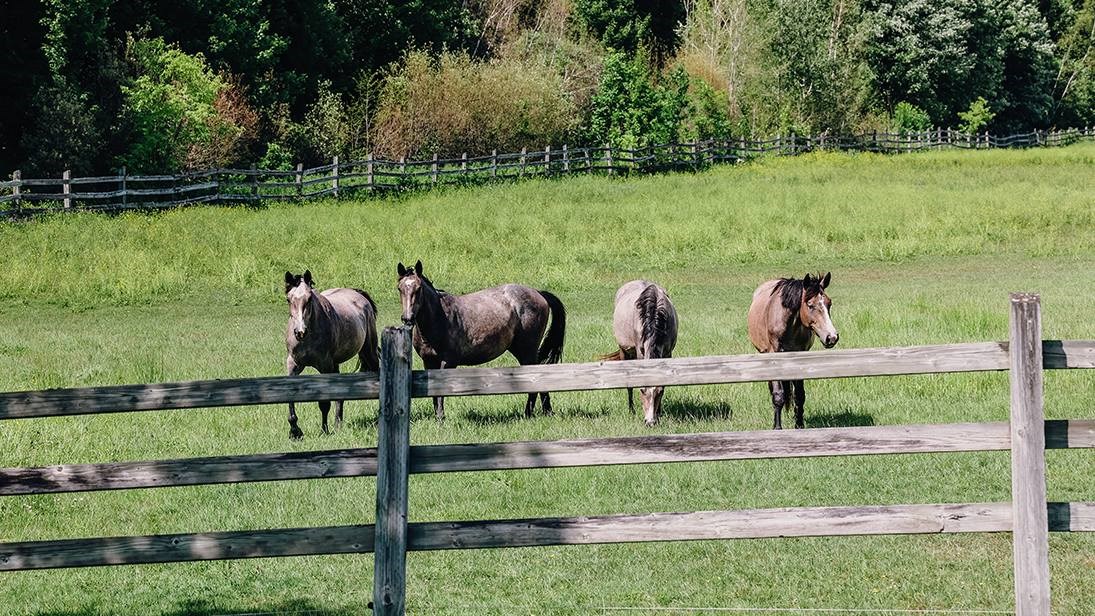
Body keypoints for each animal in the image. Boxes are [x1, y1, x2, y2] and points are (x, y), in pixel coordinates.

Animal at [284, 270, 380, 439]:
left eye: (309, 299)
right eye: (289, 299)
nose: (300, 332)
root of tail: (358, 294)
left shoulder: (324, 366)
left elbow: (324, 403)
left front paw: (324, 430)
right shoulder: (293, 364)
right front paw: (295, 431)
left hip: (369, 351)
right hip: (335, 364)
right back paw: (338, 424)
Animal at [396, 260, 566, 420]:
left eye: (418, 289)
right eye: (400, 288)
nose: (407, 318)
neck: (440, 318)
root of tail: (538, 293)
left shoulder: (448, 362)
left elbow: (441, 392)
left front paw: (440, 418)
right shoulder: (428, 361)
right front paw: (438, 417)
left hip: (527, 350)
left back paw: (528, 413)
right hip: (519, 350)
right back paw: (546, 411)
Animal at [599, 280, 678, 426]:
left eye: (659, 392)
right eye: (642, 390)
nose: (650, 422)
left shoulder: (667, 353)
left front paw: (659, 414)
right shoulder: (639, 352)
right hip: (624, 351)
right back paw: (631, 410)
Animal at [747, 272, 838, 429]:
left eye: (829, 303)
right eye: (810, 305)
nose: (831, 337)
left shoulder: (800, 357)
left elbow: (800, 396)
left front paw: (799, 426)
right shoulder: (774, 356)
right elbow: (778, 395)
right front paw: (777, 427)